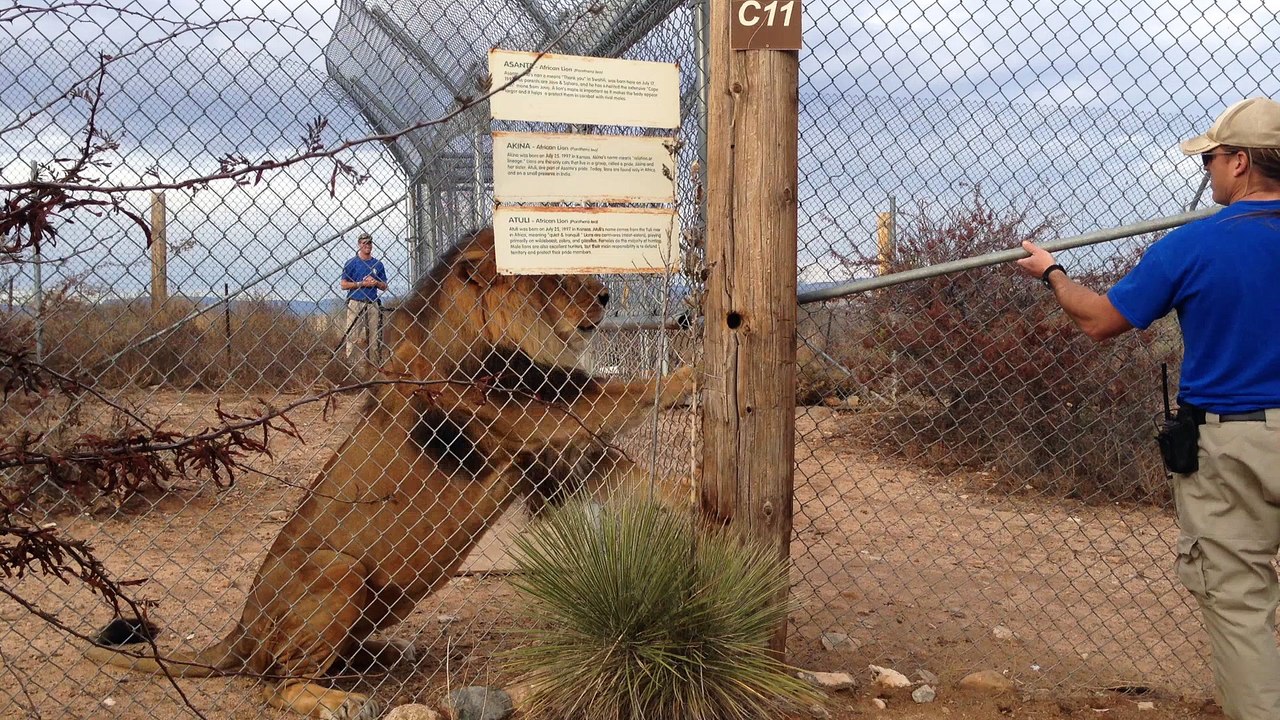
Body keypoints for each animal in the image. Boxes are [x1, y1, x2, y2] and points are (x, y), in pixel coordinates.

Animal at [86, 227, 695, 719]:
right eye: (545, 275)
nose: (605, 294)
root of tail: (242, 630)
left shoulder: (554, 458)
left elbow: (640, 475)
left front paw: (692, 499)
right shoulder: (528, 416)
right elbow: (623, 393)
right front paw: (688, 375)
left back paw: (383, 653)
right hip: (338, 569)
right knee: (273, 684)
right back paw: (339, 699)